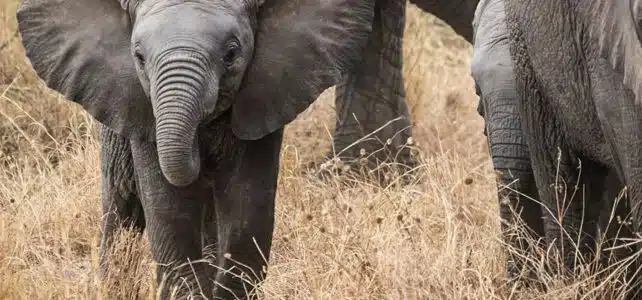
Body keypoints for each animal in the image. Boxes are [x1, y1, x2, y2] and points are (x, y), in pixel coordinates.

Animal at [17, 0, 378, 298]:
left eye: (231, 53)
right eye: (139, 58)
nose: (199, 150)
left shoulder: (266, 95)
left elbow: (247, 211)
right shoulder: (139, 109)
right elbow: (170, 212)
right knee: (121, 208)